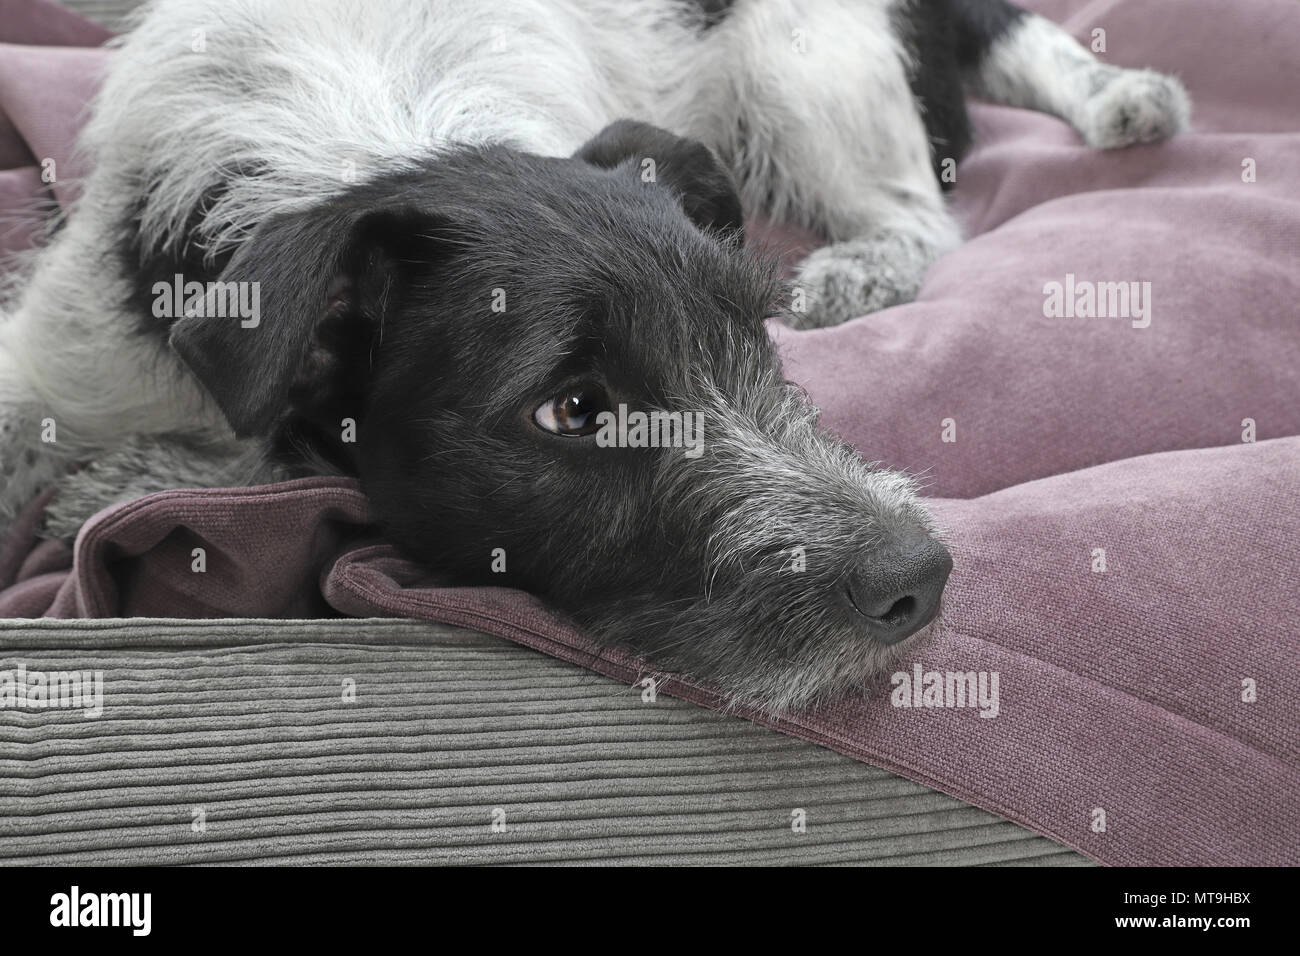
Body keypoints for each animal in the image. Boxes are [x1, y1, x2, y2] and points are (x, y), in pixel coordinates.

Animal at [0, 0, 1190, 712]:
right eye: (571, 410)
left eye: (747, 331)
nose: (923, 578)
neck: (380, 139)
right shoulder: (62, 359)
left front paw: (139, 480)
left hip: (804, 60)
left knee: (918, 214)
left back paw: (857, 269)